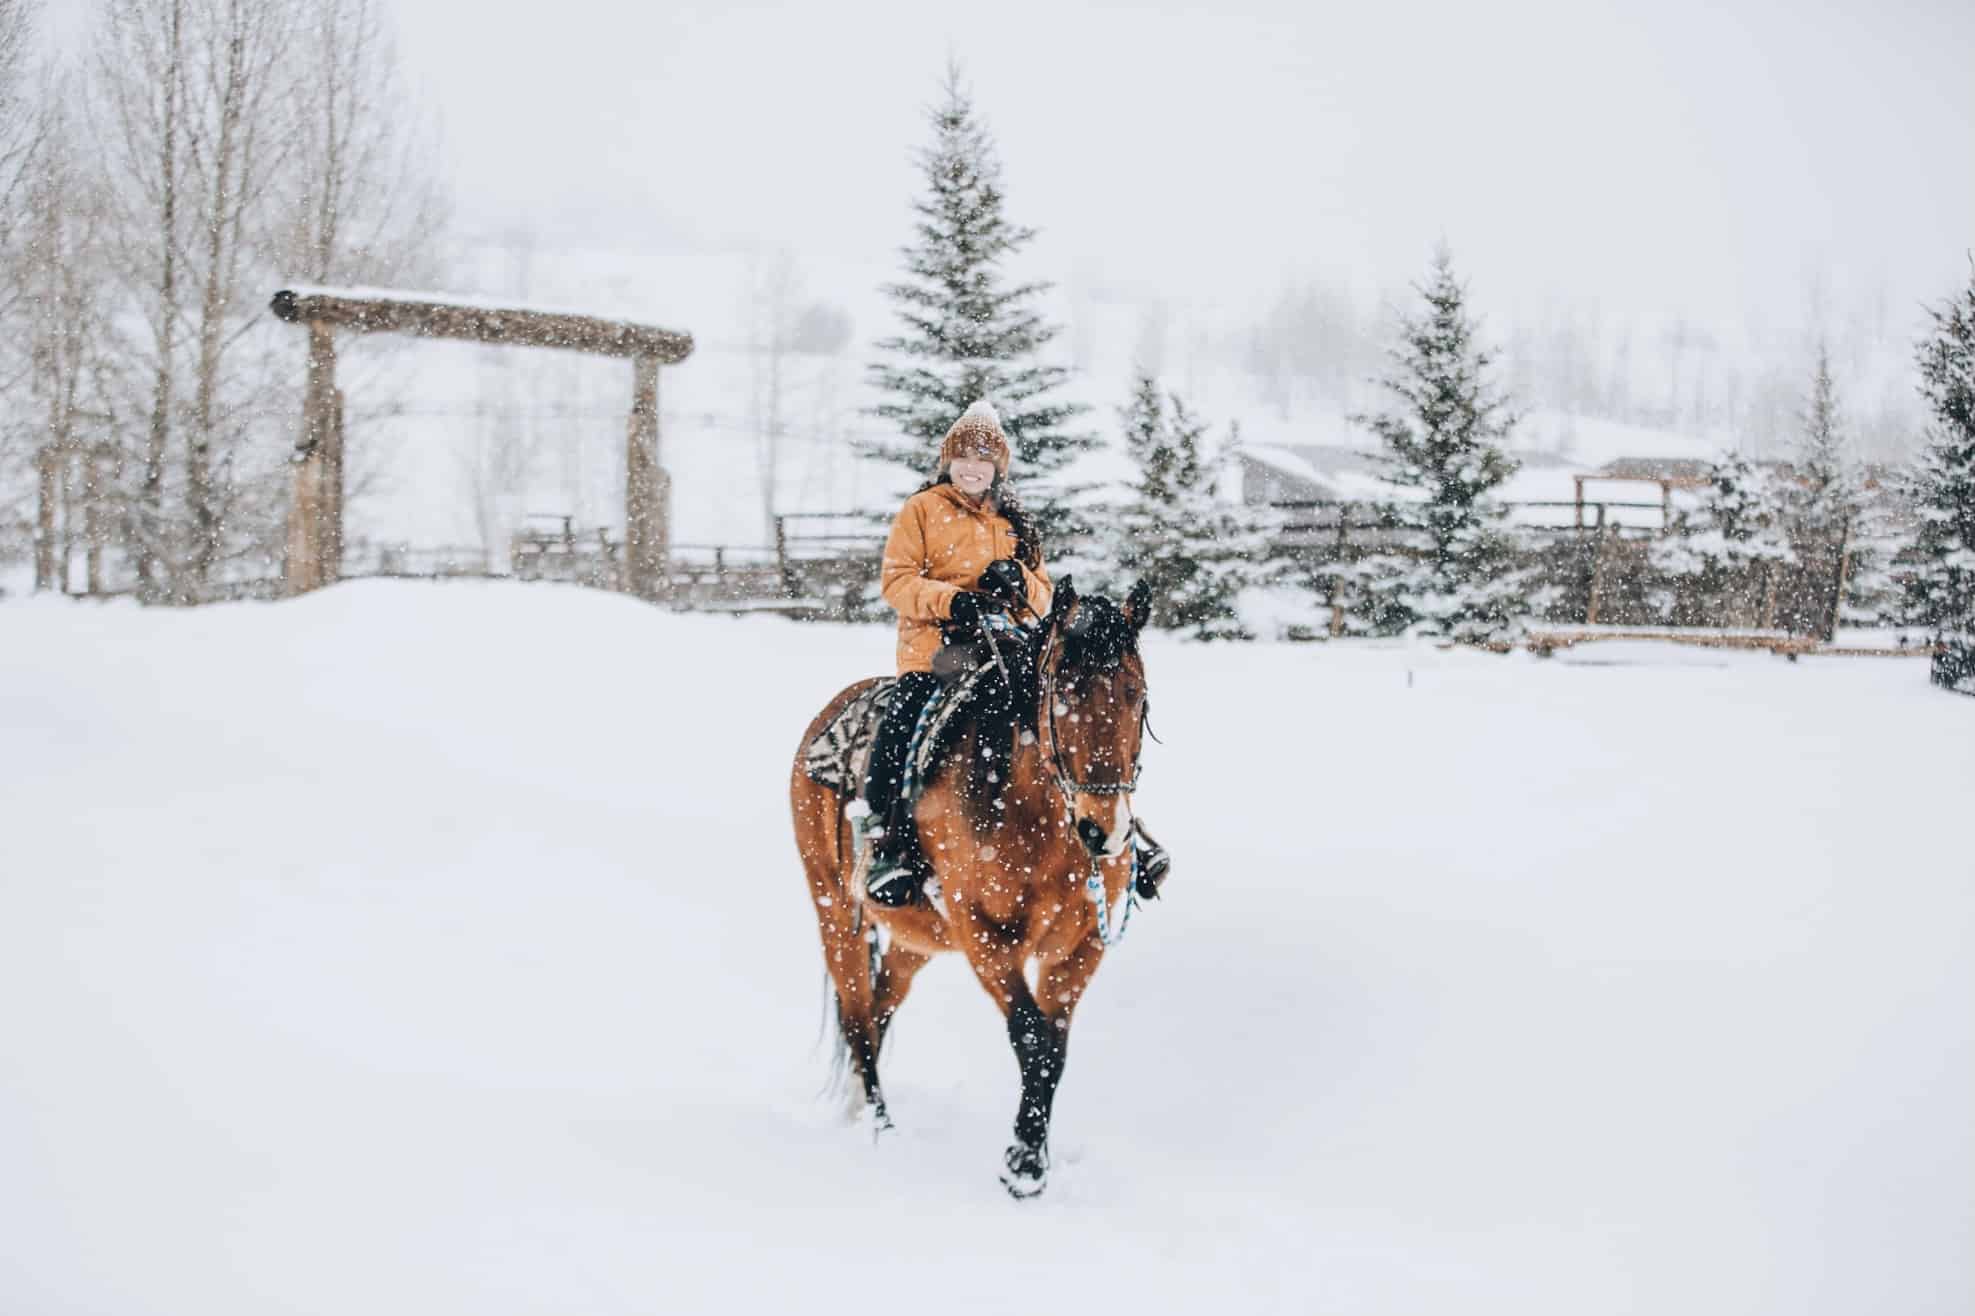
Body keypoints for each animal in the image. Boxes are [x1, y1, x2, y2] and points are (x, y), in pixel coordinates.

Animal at [790, 580, 1153, 1193]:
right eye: (1060, 695)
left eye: (1137, 693)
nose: (1103, 831)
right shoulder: (985, 935)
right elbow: (1030, 1036)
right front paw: (1023, 1165)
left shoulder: (1081, 948)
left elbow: (1054, 1047)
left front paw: (1031, 1155)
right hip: (835, 911)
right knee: (858, 1018)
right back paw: (882, 1127)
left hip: (915, 940)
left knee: (881, 1007)